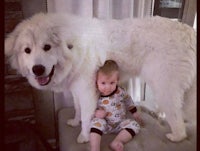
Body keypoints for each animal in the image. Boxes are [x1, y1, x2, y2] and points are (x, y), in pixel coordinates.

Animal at [4, 13, 195, 143]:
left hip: (164, 86)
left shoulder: (87, 92)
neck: (73, 49)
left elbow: (86, 116)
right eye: (27, 50)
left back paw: (176, 136)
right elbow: (77, 109)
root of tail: (190, 31)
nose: (37, 69)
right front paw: (75, 122)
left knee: (176, 115)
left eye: (47, 47)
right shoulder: (76, 90)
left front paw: (83, 136)